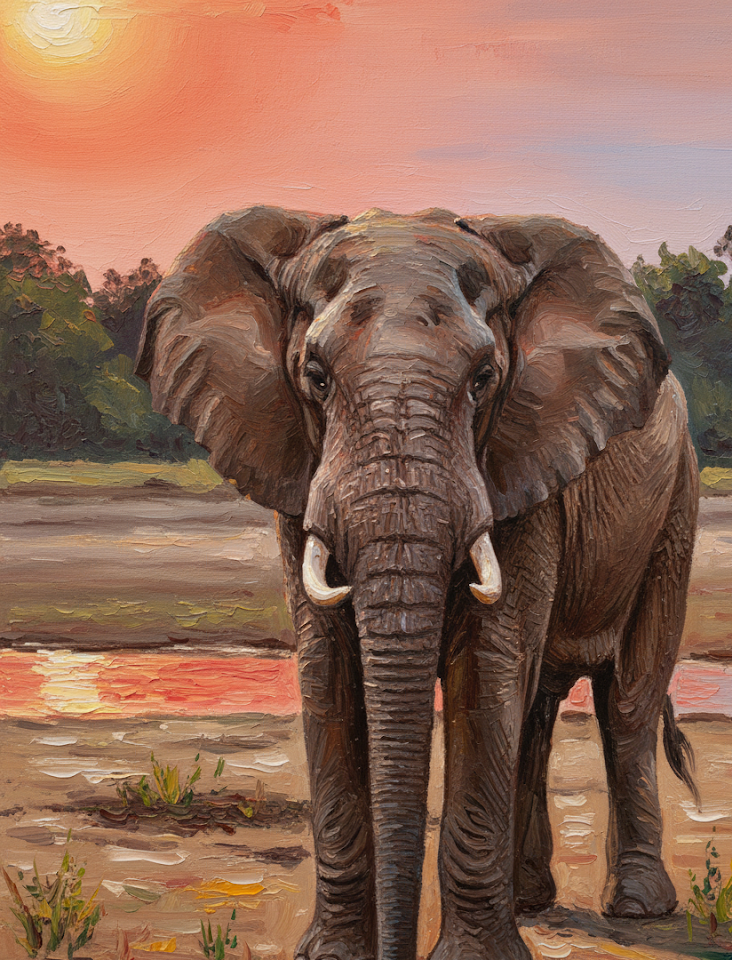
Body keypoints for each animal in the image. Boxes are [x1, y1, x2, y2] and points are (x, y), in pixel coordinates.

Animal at [136, 205, 699, 960]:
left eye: (485, 377)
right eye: (315, 376)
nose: (391, 950)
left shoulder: (522, 462)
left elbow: (485, 671)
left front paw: (475, 958)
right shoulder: (297, 466)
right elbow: (328, 672)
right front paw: (333, 955)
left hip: (676, 504)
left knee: (627, 700)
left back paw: (637, 908)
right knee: (538, 711)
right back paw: (531, 900)